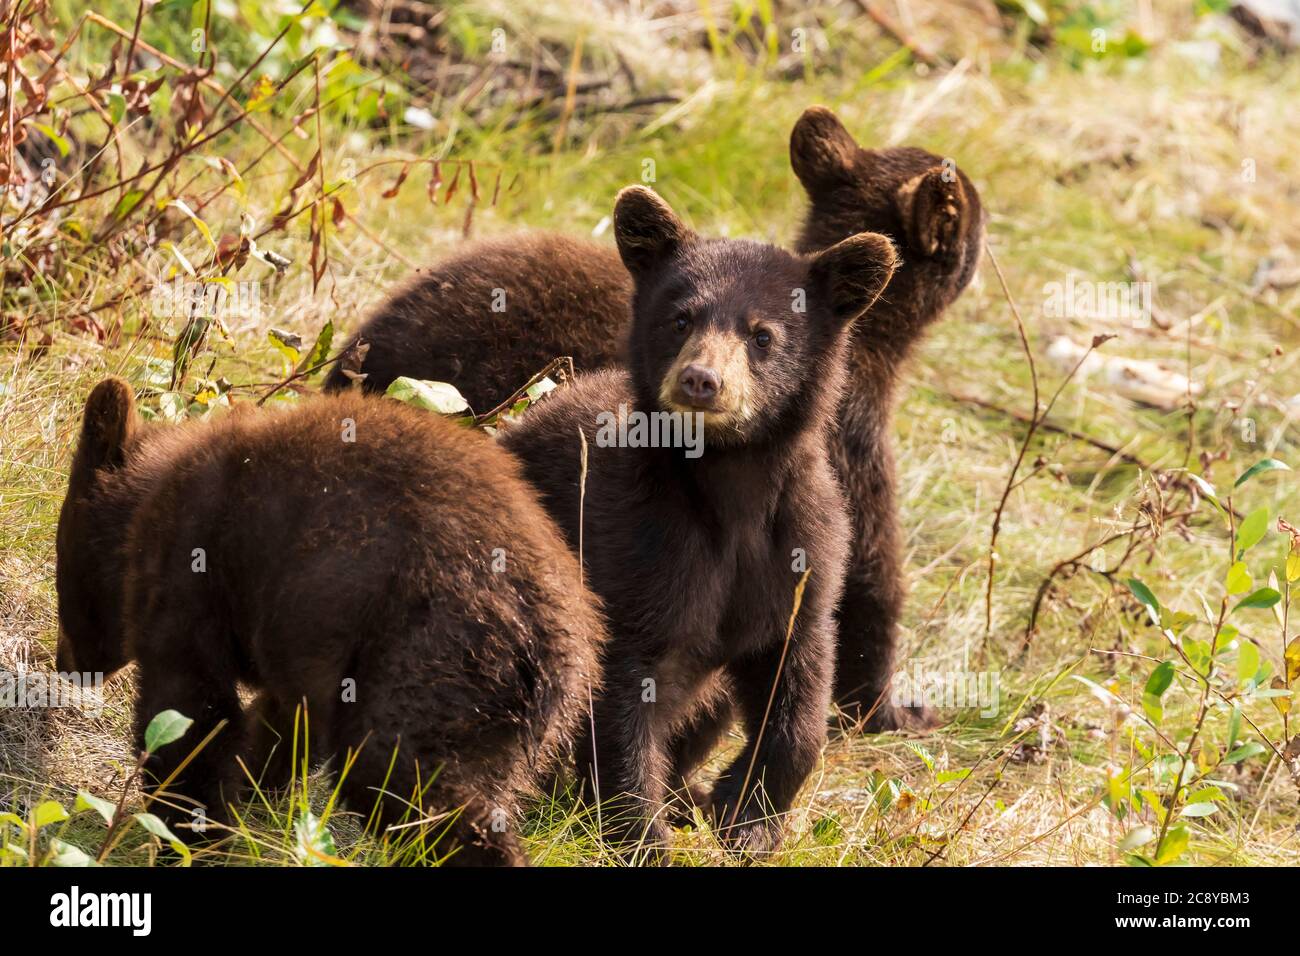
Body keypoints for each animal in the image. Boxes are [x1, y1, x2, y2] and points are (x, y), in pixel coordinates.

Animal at [54, 380, 606, 866]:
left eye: (62, 568)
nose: (64, 666)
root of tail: (556, 642)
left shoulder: (192, 574)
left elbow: (191, 714)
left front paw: (190, 839)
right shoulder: (302, 643)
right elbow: (282, 725)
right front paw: (251, 791)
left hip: (429, 656)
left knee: (402, 782)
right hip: (509, 724)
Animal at [497, 186, 898, 855]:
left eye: (763, 335)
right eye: (681, 318)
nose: (700, 380)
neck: (730, 489)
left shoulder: (802, 546)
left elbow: (798, 682)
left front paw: (749, 817)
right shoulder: (631, 540)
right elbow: (619, 693)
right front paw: (641, 835)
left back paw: (689, 793)